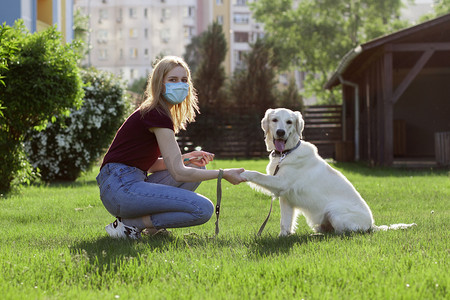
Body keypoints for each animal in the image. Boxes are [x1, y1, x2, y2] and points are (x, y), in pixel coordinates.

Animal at [241, 108, 416, 237]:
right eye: (275, 120)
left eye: (289, 122)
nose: (280, 132)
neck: (285, 154)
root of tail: (372, 225)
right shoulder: (285, 198)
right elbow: (285, 222)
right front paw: (283, 237)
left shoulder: (281, 183)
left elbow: (256, 174)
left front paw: (243, 174)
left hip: (335, 212)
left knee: (343, 233)